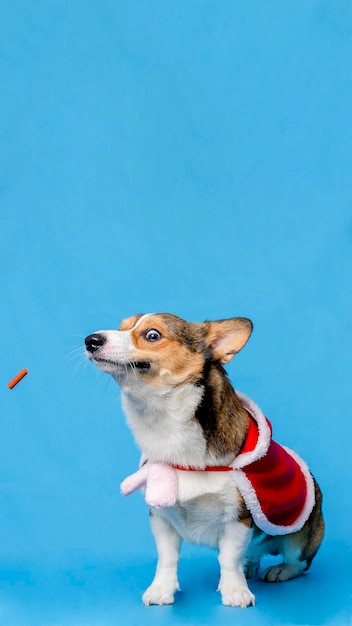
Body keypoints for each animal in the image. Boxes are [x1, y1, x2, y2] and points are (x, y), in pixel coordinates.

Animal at [85, 312, 324, 604]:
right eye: (121, 327)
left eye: (152, 335)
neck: (167, 424)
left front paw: (235, 590)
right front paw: (161, 589)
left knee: (298, 562)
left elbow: (228, 559)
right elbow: (167, 558)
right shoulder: (161, 517)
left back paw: (278, 570)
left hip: (299, 538)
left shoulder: (238, 518)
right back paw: (250, 564)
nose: (91, 340)